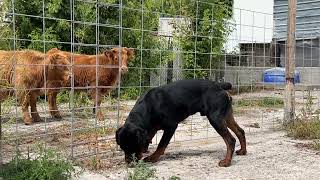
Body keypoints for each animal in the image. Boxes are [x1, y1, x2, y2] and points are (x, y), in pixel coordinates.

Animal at [115, 79, 248, 167]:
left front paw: (153, 157)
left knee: (230, 140)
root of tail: (219, 85)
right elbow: (149, 137)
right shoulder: (150, 128)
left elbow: (161, 145)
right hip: (226, 116)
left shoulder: (171, 126)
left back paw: (226, 162)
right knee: (240, 131)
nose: (130, 163)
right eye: (122, 148)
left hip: (215, 118)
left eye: (134, 146)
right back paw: (243, 151)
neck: (149, 106)